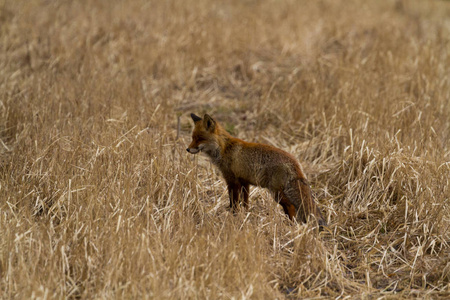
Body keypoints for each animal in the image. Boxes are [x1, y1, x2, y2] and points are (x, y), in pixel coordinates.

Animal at [186, 113, 326, 227]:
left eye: (199, 138)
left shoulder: (232, 181)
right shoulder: (244, 181)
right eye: (192, 138)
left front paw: (233, 217)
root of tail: (295, 162)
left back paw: (291, 225)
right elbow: (245, 203)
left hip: (276, 192)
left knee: (291, 206)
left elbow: (234, 203)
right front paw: (245, 216)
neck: (224, 148)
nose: (187, 149)